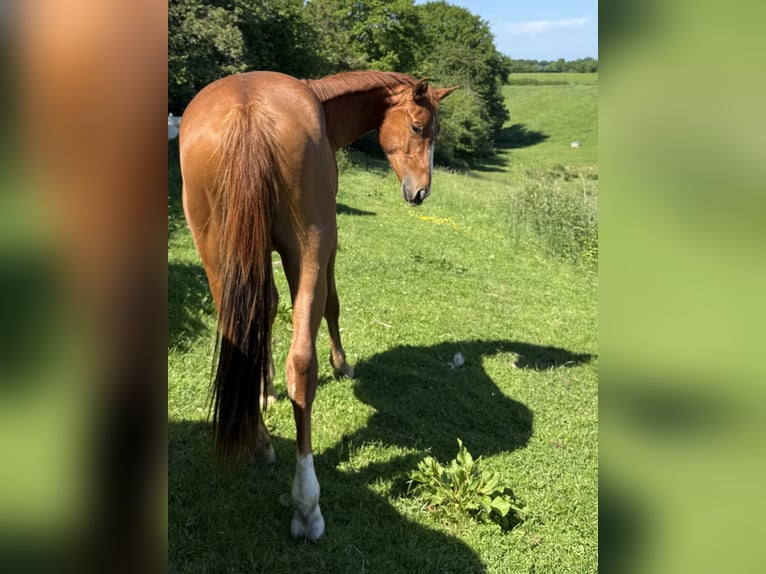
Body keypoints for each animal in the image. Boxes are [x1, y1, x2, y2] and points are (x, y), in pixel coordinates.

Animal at [178, 70, 457, 540]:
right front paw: (341, 364)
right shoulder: (329, 243)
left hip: (216, 253)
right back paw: (307, 505)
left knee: (240, 333)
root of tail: (247, 111)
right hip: (309, 246)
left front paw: (263, 390)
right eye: (421, 128)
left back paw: (261, 443)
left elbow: (265, 311)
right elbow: (333, 306)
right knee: (302, 365)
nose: (421, 191)